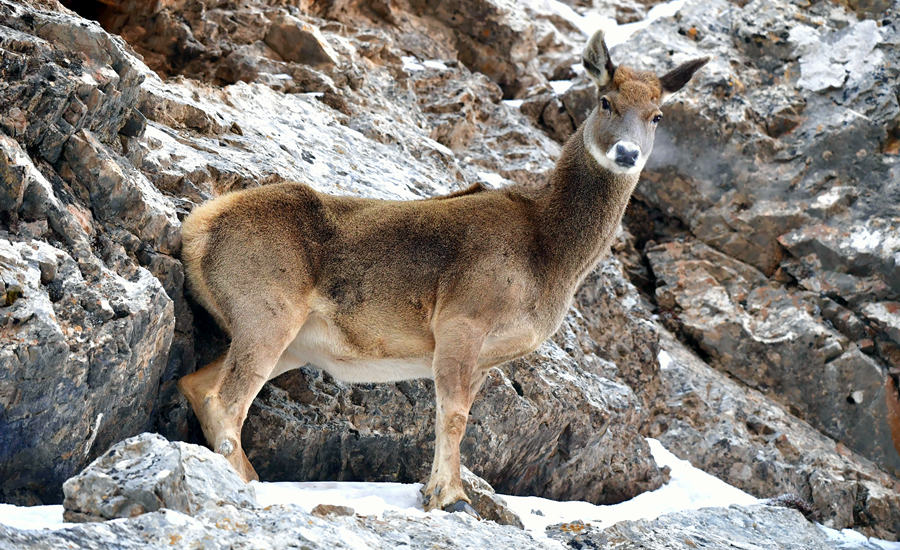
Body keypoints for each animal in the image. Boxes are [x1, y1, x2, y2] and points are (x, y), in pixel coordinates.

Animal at [177, 29, 708, 517]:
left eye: (657, 115)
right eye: (605, 100)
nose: (627, 154)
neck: (550, 254)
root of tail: (199, 227)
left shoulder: (489, 357)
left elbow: (458, 414)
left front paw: (438, 493)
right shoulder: (462, 318)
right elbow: (452, 415)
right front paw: (451, 497)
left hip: (288, 340)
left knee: (197, 385)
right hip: (266, 309)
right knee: (227, 400)